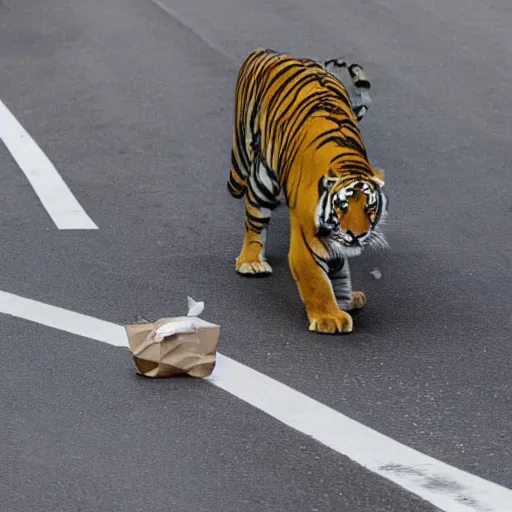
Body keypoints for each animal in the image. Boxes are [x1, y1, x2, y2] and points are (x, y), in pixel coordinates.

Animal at [227, 49, 388, 336]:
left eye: (370, 206)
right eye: (342, 206)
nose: (356, 235)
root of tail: (269, 52)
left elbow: (340, 269)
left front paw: (346, 299)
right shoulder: (307, 239)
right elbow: (316, 279)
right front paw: (330, 318)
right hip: (261, 175)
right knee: (255, 220)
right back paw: (251, 262)